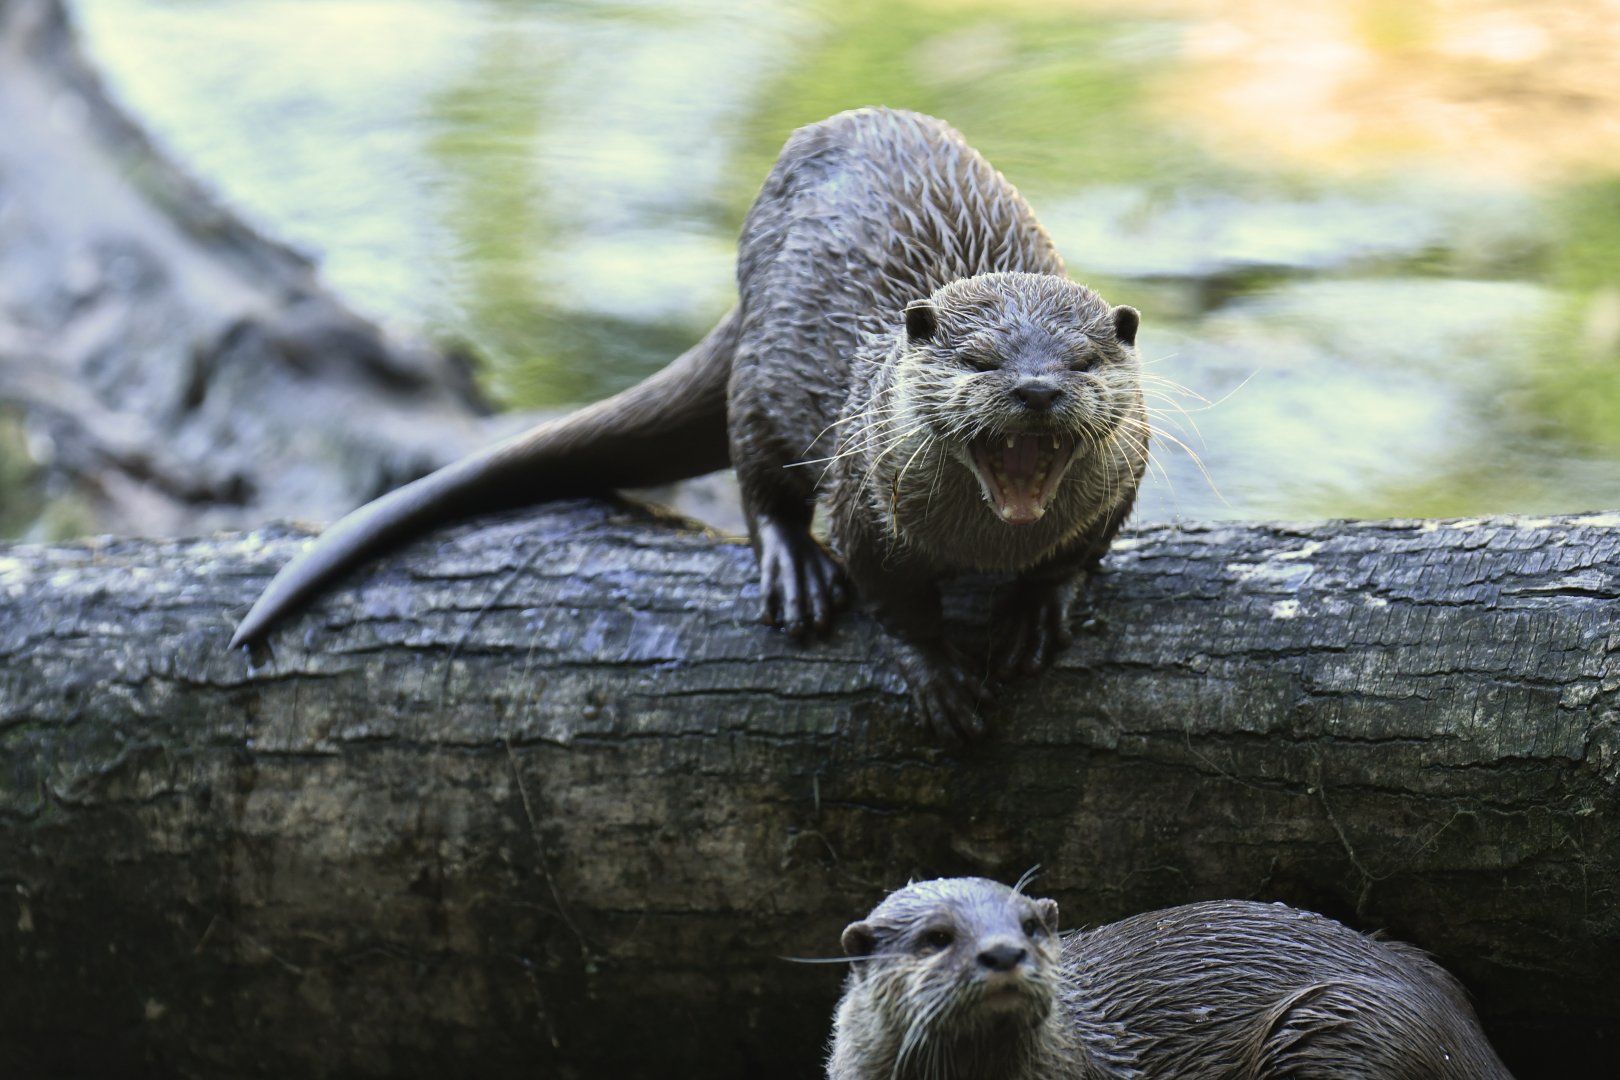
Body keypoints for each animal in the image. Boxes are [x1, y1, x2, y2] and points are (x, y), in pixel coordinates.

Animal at [230, 108, 1148, 738]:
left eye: (1083, 361)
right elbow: (893, 598)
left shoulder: (1125, 480)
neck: (986, 545)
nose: (1037, 390)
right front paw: (938, 677)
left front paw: (1041, 606)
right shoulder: (863, 498)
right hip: (759, 383)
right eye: (980, 361)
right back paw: (794, 570)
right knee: (757, 478)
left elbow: (1084, 549)